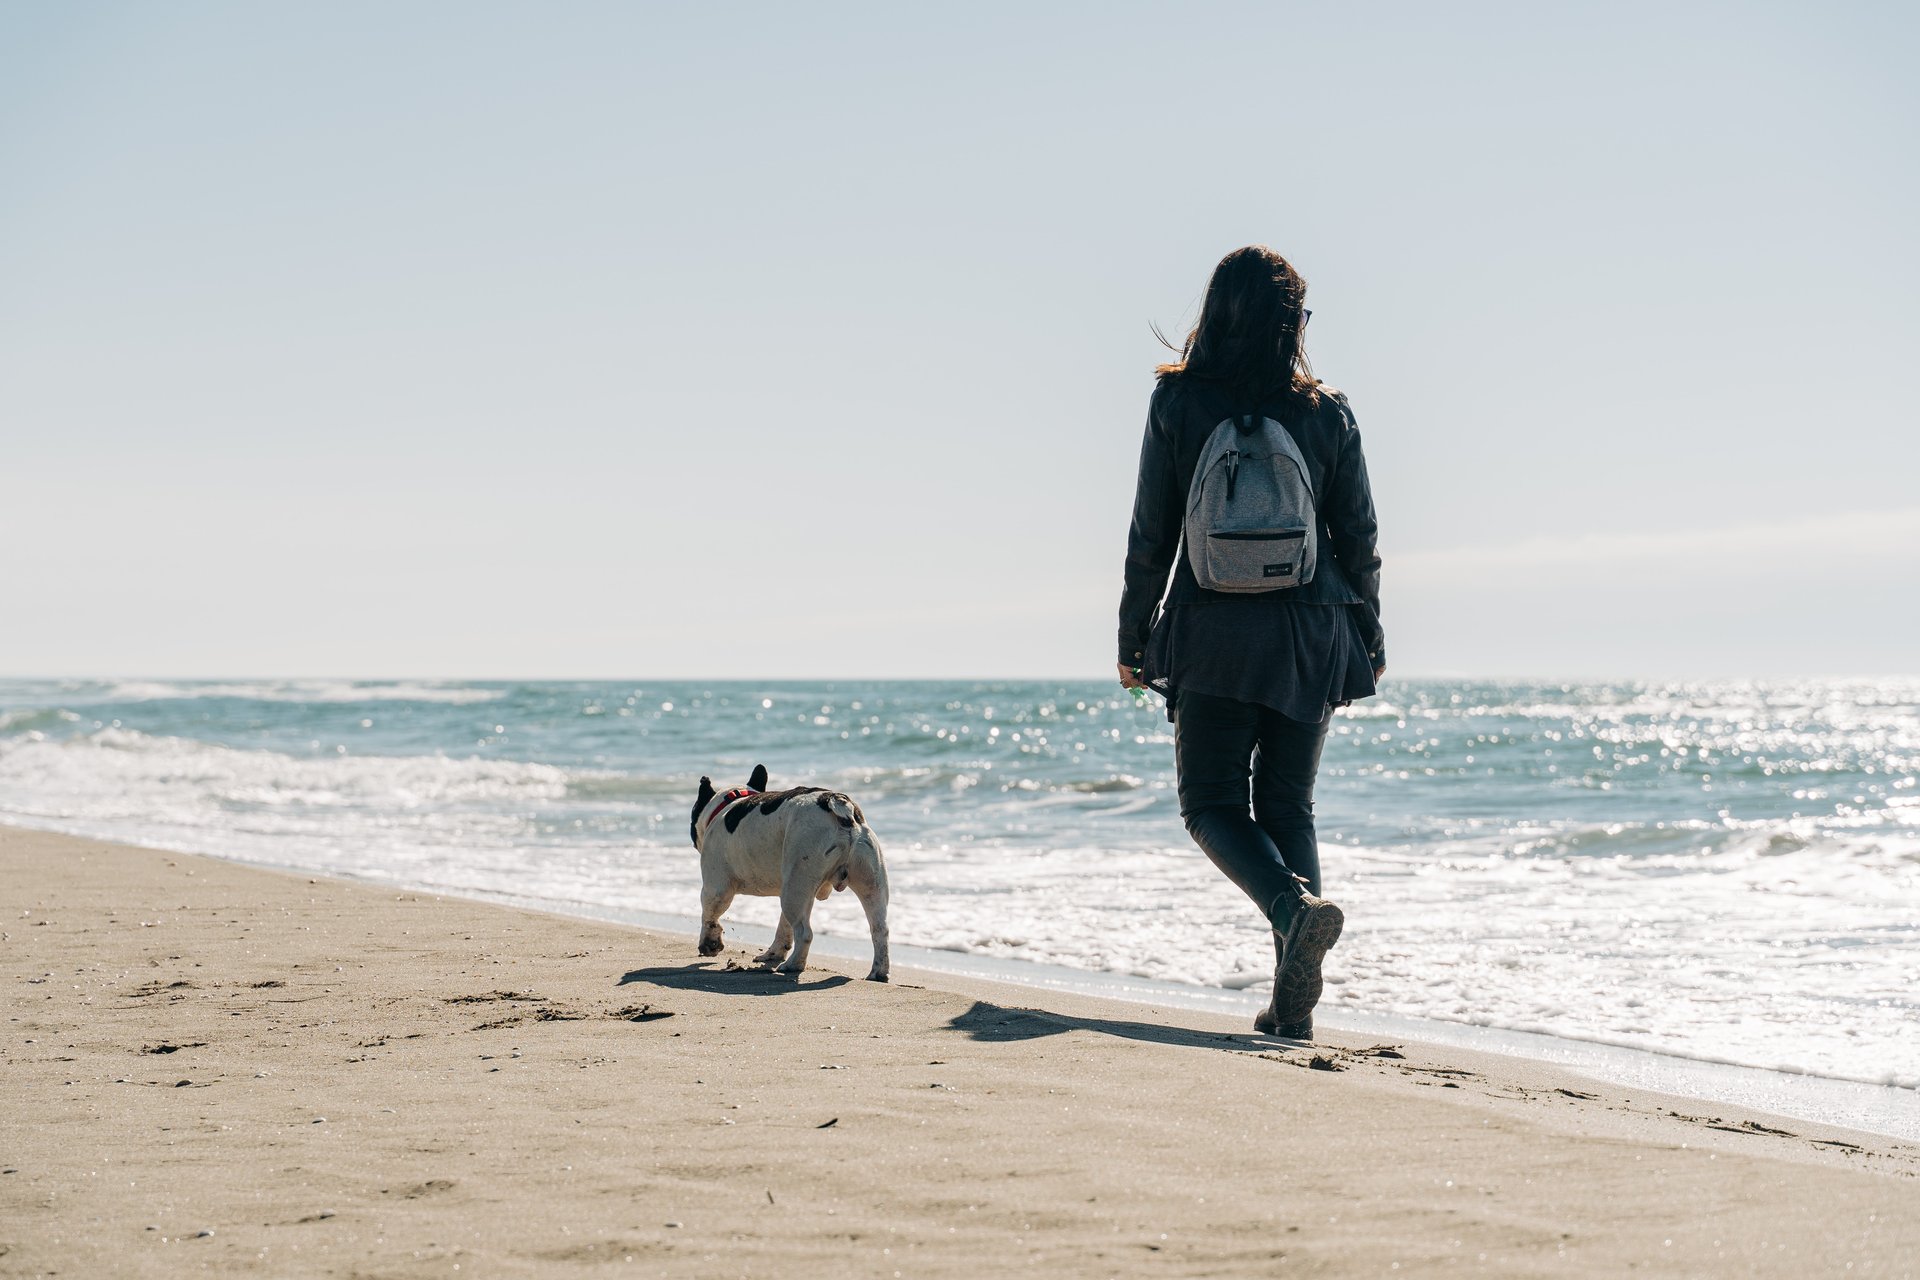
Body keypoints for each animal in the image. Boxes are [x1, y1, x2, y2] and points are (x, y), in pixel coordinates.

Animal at [691, 771, 890, 982]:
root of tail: (837, 803)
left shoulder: (715, 887)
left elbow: (709, 914)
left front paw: (709, 943)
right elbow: (783, 926)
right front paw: (774, 953)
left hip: (797, 882)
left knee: (804, 933)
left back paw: (793, 964)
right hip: (866, 882)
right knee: (879, 928)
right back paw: (878, 971)